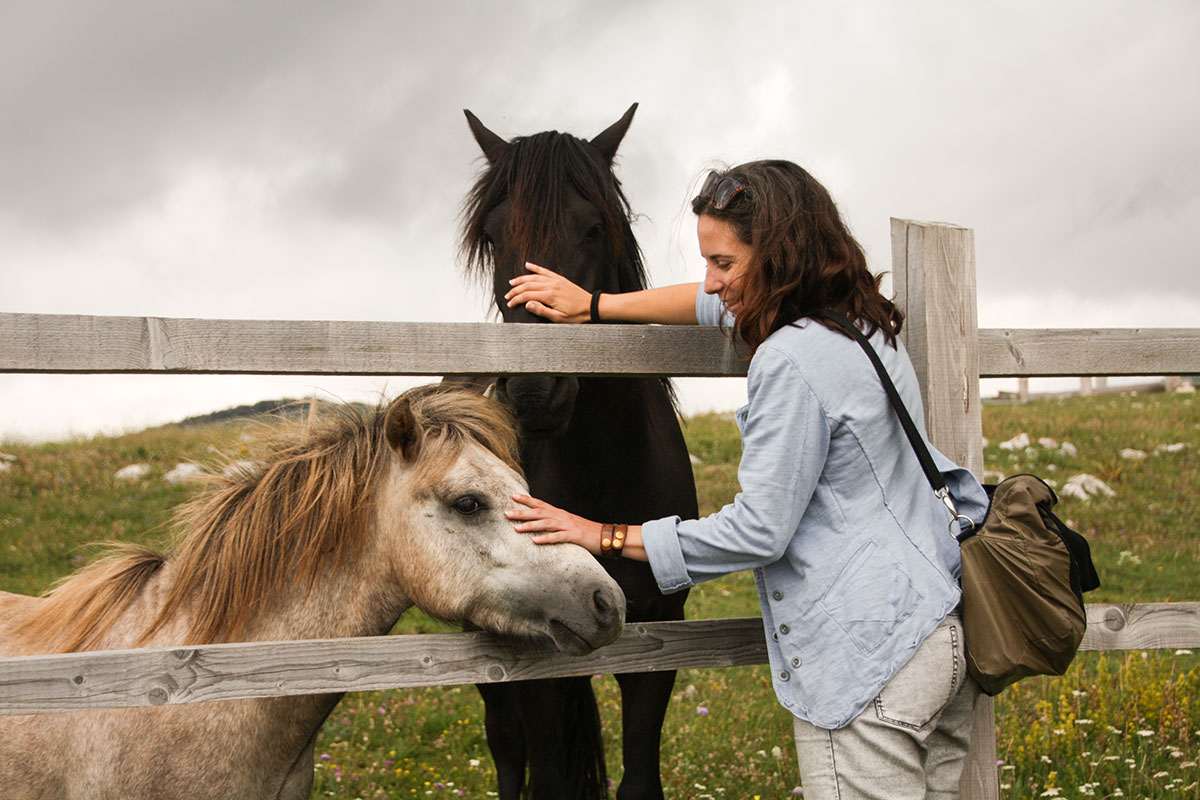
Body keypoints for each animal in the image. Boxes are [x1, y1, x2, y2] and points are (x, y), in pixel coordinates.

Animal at [458, 106, 700, 800]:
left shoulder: (659, 636)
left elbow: (640, 778)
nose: (533, 390)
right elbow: (547, 776)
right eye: (492, 235)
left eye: (593, 228)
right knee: (507, 747)